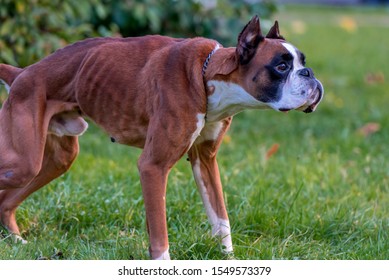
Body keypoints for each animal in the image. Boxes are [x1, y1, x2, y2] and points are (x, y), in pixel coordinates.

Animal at [0, 16, 322, 260]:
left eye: (302, 62)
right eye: (281, 66)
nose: (309, 74)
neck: (207, 77)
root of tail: (22, 73)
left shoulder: (206, 162)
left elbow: (221, 218)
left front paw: (228, 258)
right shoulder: (153, 167)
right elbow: (159, 230)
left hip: (55, 160)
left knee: (6, 201)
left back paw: (14, 240)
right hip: (23, 162)